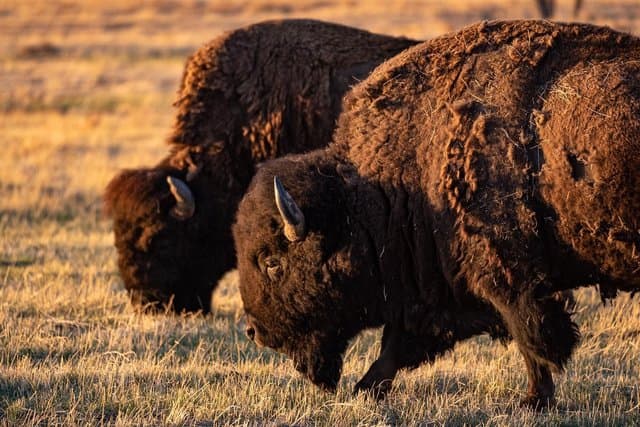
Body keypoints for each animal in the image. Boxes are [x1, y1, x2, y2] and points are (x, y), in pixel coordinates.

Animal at [233, 20, 640, 407]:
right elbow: (398, 347)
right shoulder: (440, 289)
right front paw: (364, 389)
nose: (254, 332)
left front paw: (535, 399)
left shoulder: (510, 278)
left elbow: (533, 338)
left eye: (272, 262)